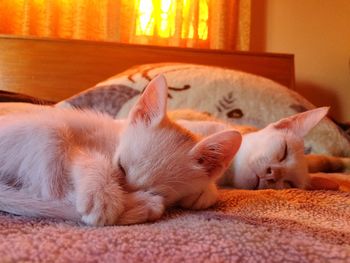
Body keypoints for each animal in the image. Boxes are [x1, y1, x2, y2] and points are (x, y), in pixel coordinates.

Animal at [0, 76, 241, 227]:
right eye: (121, 168)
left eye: (156, 189)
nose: (123, 193)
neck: (114, 139)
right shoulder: (83, 144)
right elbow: (90, 160)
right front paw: (103, 195)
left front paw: (205, 192)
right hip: (49, 128)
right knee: (53, 194)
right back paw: (142, 206)